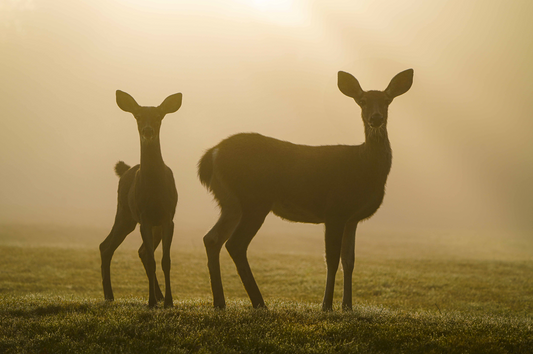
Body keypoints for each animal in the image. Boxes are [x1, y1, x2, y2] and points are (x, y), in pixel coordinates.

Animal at [100, 90, 183, 306]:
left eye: (159, 116)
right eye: (137, 116)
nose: (147, 131)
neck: (154, 190)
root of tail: (126, 170)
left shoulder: (168, 217)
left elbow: (165, 261)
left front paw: (169, 301)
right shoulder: (144, 217)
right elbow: (154, 260)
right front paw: (151, 302)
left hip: (146, 222)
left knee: (141, 251)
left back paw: (159, 296)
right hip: (125, 212)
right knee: (107, 246)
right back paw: (109, 296)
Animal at [197, 68, 414, 310]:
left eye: (387, 100)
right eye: (362, 101)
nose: (376, 118)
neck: (364, 166)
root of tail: (212, 155)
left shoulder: (352, 218)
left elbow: (349, 260)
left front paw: (347, 306)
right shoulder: (335, 210)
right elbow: (332, 259)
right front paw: (326, 305)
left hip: (231, 203)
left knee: (212, 238)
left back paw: (220, 302)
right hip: (254, 199)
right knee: (235, 244)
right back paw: (259, 303)